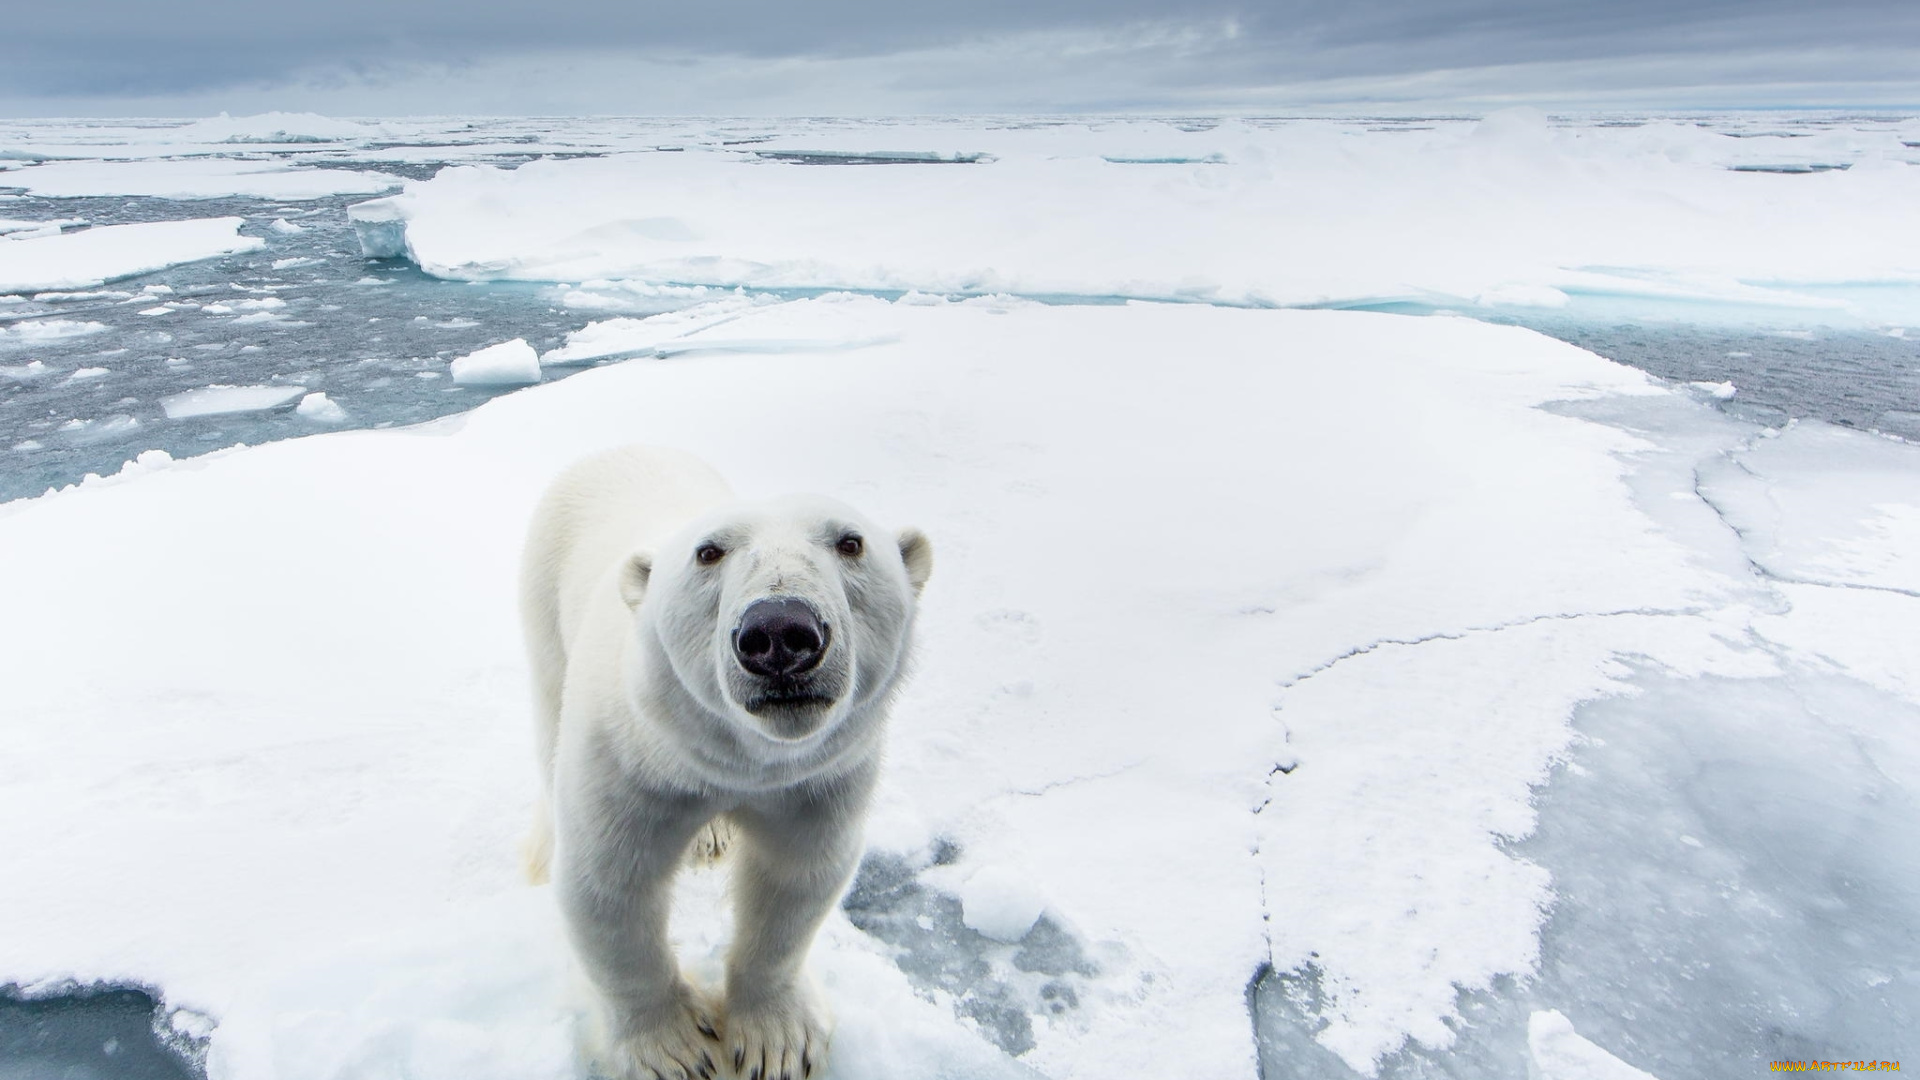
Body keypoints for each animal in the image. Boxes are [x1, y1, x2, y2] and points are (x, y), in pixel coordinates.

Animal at [514, 443, 925, 1076]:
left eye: (851, 542)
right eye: (708, 552)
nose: (780, 632)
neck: (736, 760)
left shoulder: (815, 779)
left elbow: (794, 879)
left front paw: (776, 1039)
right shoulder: (632, 761)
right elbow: (609, 884)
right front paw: (674, 1049)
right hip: (543, 598)